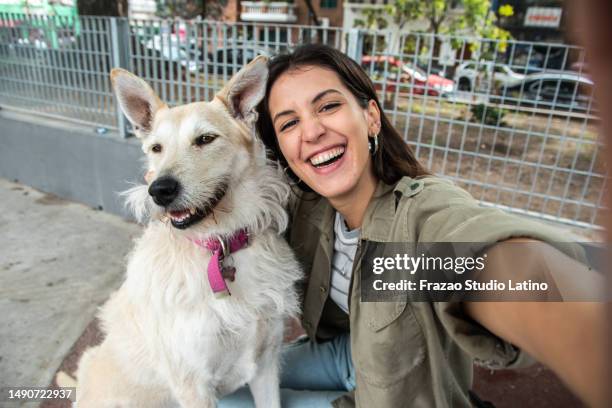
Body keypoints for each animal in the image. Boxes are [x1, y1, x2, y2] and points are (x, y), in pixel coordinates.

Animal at [75, 57, 302, 408]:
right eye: (156, 148)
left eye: (206, 139)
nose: (160, 190)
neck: (220, 245)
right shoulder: (193, 385)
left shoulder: (266, 364)